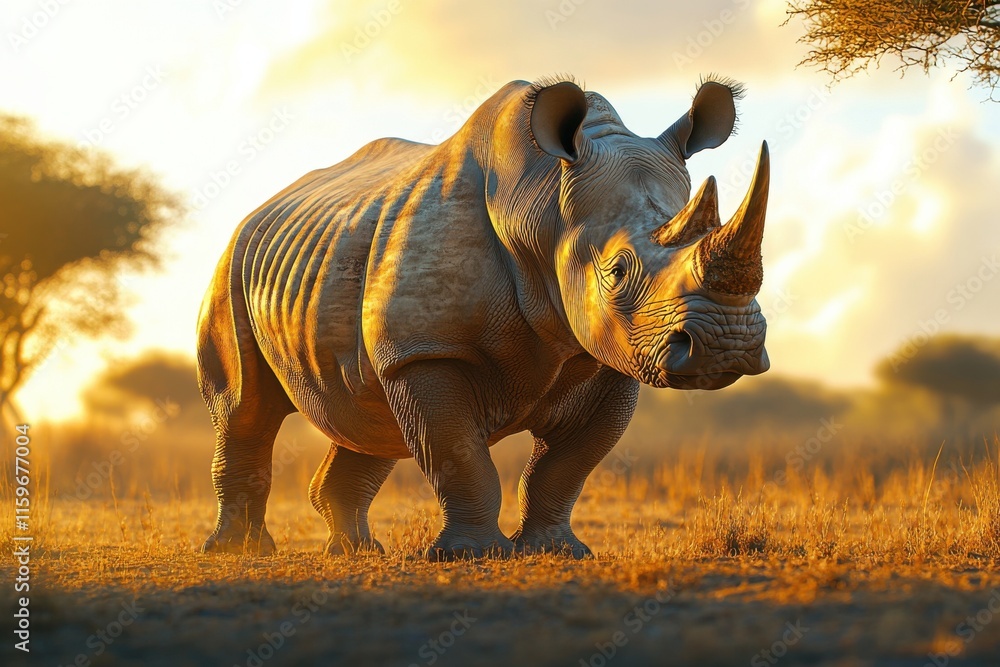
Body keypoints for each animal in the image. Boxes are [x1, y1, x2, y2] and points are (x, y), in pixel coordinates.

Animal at [197, 76, 770, 560]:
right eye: (617, 270)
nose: (727, 345)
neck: (542, 207)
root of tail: (260, 209)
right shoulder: (427, 350)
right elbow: (459, 455)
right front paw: (471, 555)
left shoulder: (611, 357)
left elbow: (566, 467)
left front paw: (556, 551)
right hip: (231, 266)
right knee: (245, 408)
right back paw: (237, 552)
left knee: (367, 414)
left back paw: (355, 552)